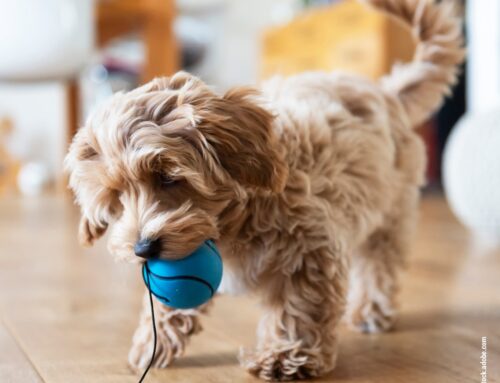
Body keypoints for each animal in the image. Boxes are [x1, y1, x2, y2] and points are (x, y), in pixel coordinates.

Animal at [66, 0, 464, 380]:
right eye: (116, 196)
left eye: (166, 177)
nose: (143, 249)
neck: (236, 217)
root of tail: (386, 91)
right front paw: (153, 342)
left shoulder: (308, 247)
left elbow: (300, 305)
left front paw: (287, 355)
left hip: (390, 205)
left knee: (379, 262)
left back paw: (370, 309)